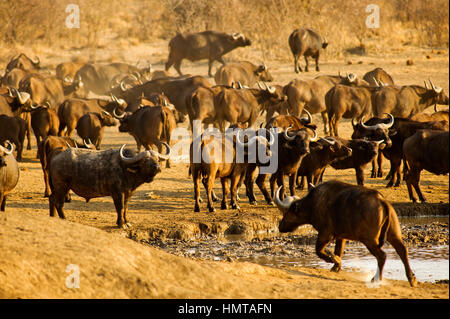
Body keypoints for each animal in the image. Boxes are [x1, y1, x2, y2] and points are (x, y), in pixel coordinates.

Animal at [274, 181, 418, 288]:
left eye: (286, 212)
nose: (280, 226)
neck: (314, 202)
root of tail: (382, 201)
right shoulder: (341, 236)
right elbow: (339, 250)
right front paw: (336, 267)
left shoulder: (325, 234)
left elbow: (319, 250)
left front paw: (334, 260)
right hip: (394, 234)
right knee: (402, 250)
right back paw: (412, 279)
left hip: (369, 240)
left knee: (382, 256)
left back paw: (376, 279)